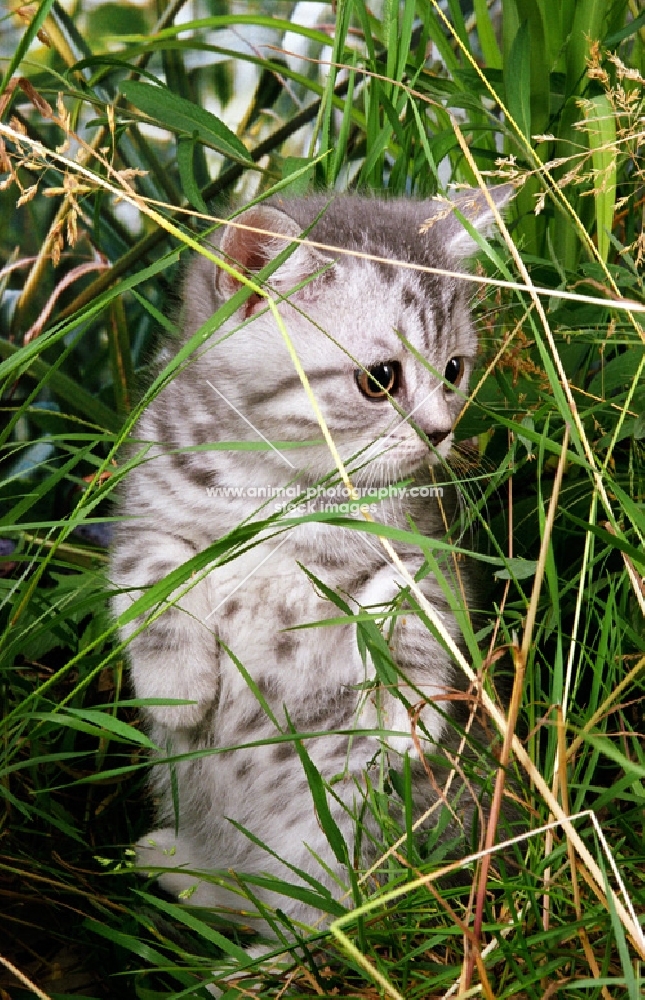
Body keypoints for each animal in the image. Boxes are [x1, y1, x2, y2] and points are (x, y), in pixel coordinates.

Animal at [112, 189, 512, 944]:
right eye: (379, 379)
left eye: (454, 370)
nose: (440, 432)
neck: (284, 487)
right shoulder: (145, 504)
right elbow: (152, 571)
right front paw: (177, 687)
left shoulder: (429, 545)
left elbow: (412, 602)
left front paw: (403, 714)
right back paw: (184, 867)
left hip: (347, 831)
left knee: (319, 923)